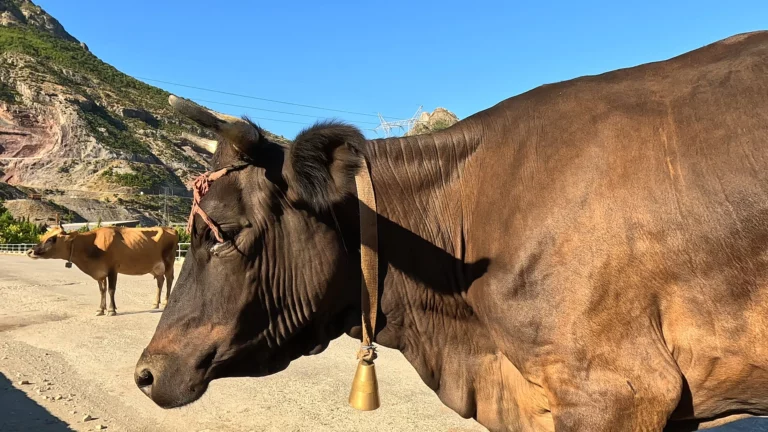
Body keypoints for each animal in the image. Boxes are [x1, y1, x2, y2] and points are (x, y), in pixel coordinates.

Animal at [27, 225, 179, 316]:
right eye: (43, 236)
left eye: (51, 239)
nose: (30, 251)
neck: (92, 245)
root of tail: (170, 228)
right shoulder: (100, 272)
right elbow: (102, 290)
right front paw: (100, 309)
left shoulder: (112, 269)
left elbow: (111, 290)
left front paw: (111, 310)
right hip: (155, 267)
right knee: (160, 280)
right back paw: (155, 303)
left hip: (169, 261)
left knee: (169, 279)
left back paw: (166, 303)